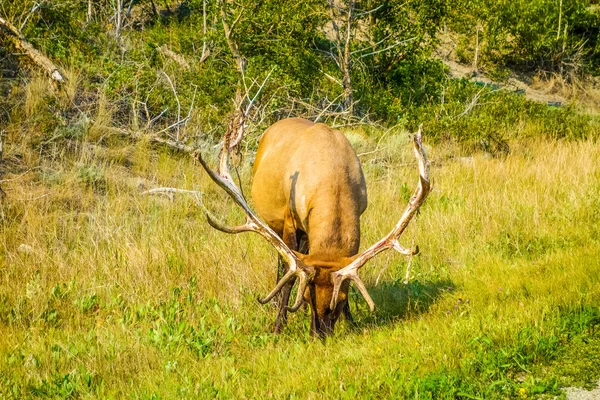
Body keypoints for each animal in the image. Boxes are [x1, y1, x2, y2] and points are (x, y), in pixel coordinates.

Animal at [197, 116, 432, 338]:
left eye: (341, 300)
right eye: (309, 298)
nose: (318, 335)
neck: (332, 173)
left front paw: (352, 322)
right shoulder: (290, 221)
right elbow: (290, 274)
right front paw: (278, 325)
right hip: (278, 223)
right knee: (281, 260)